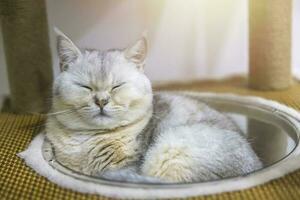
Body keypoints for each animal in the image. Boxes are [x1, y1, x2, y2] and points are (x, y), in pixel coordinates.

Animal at [45, 28, 262, 184]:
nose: (101, 101)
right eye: (85, 87)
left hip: (172, 147)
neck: (88, 138)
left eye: (117, 86)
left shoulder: (128, 166)